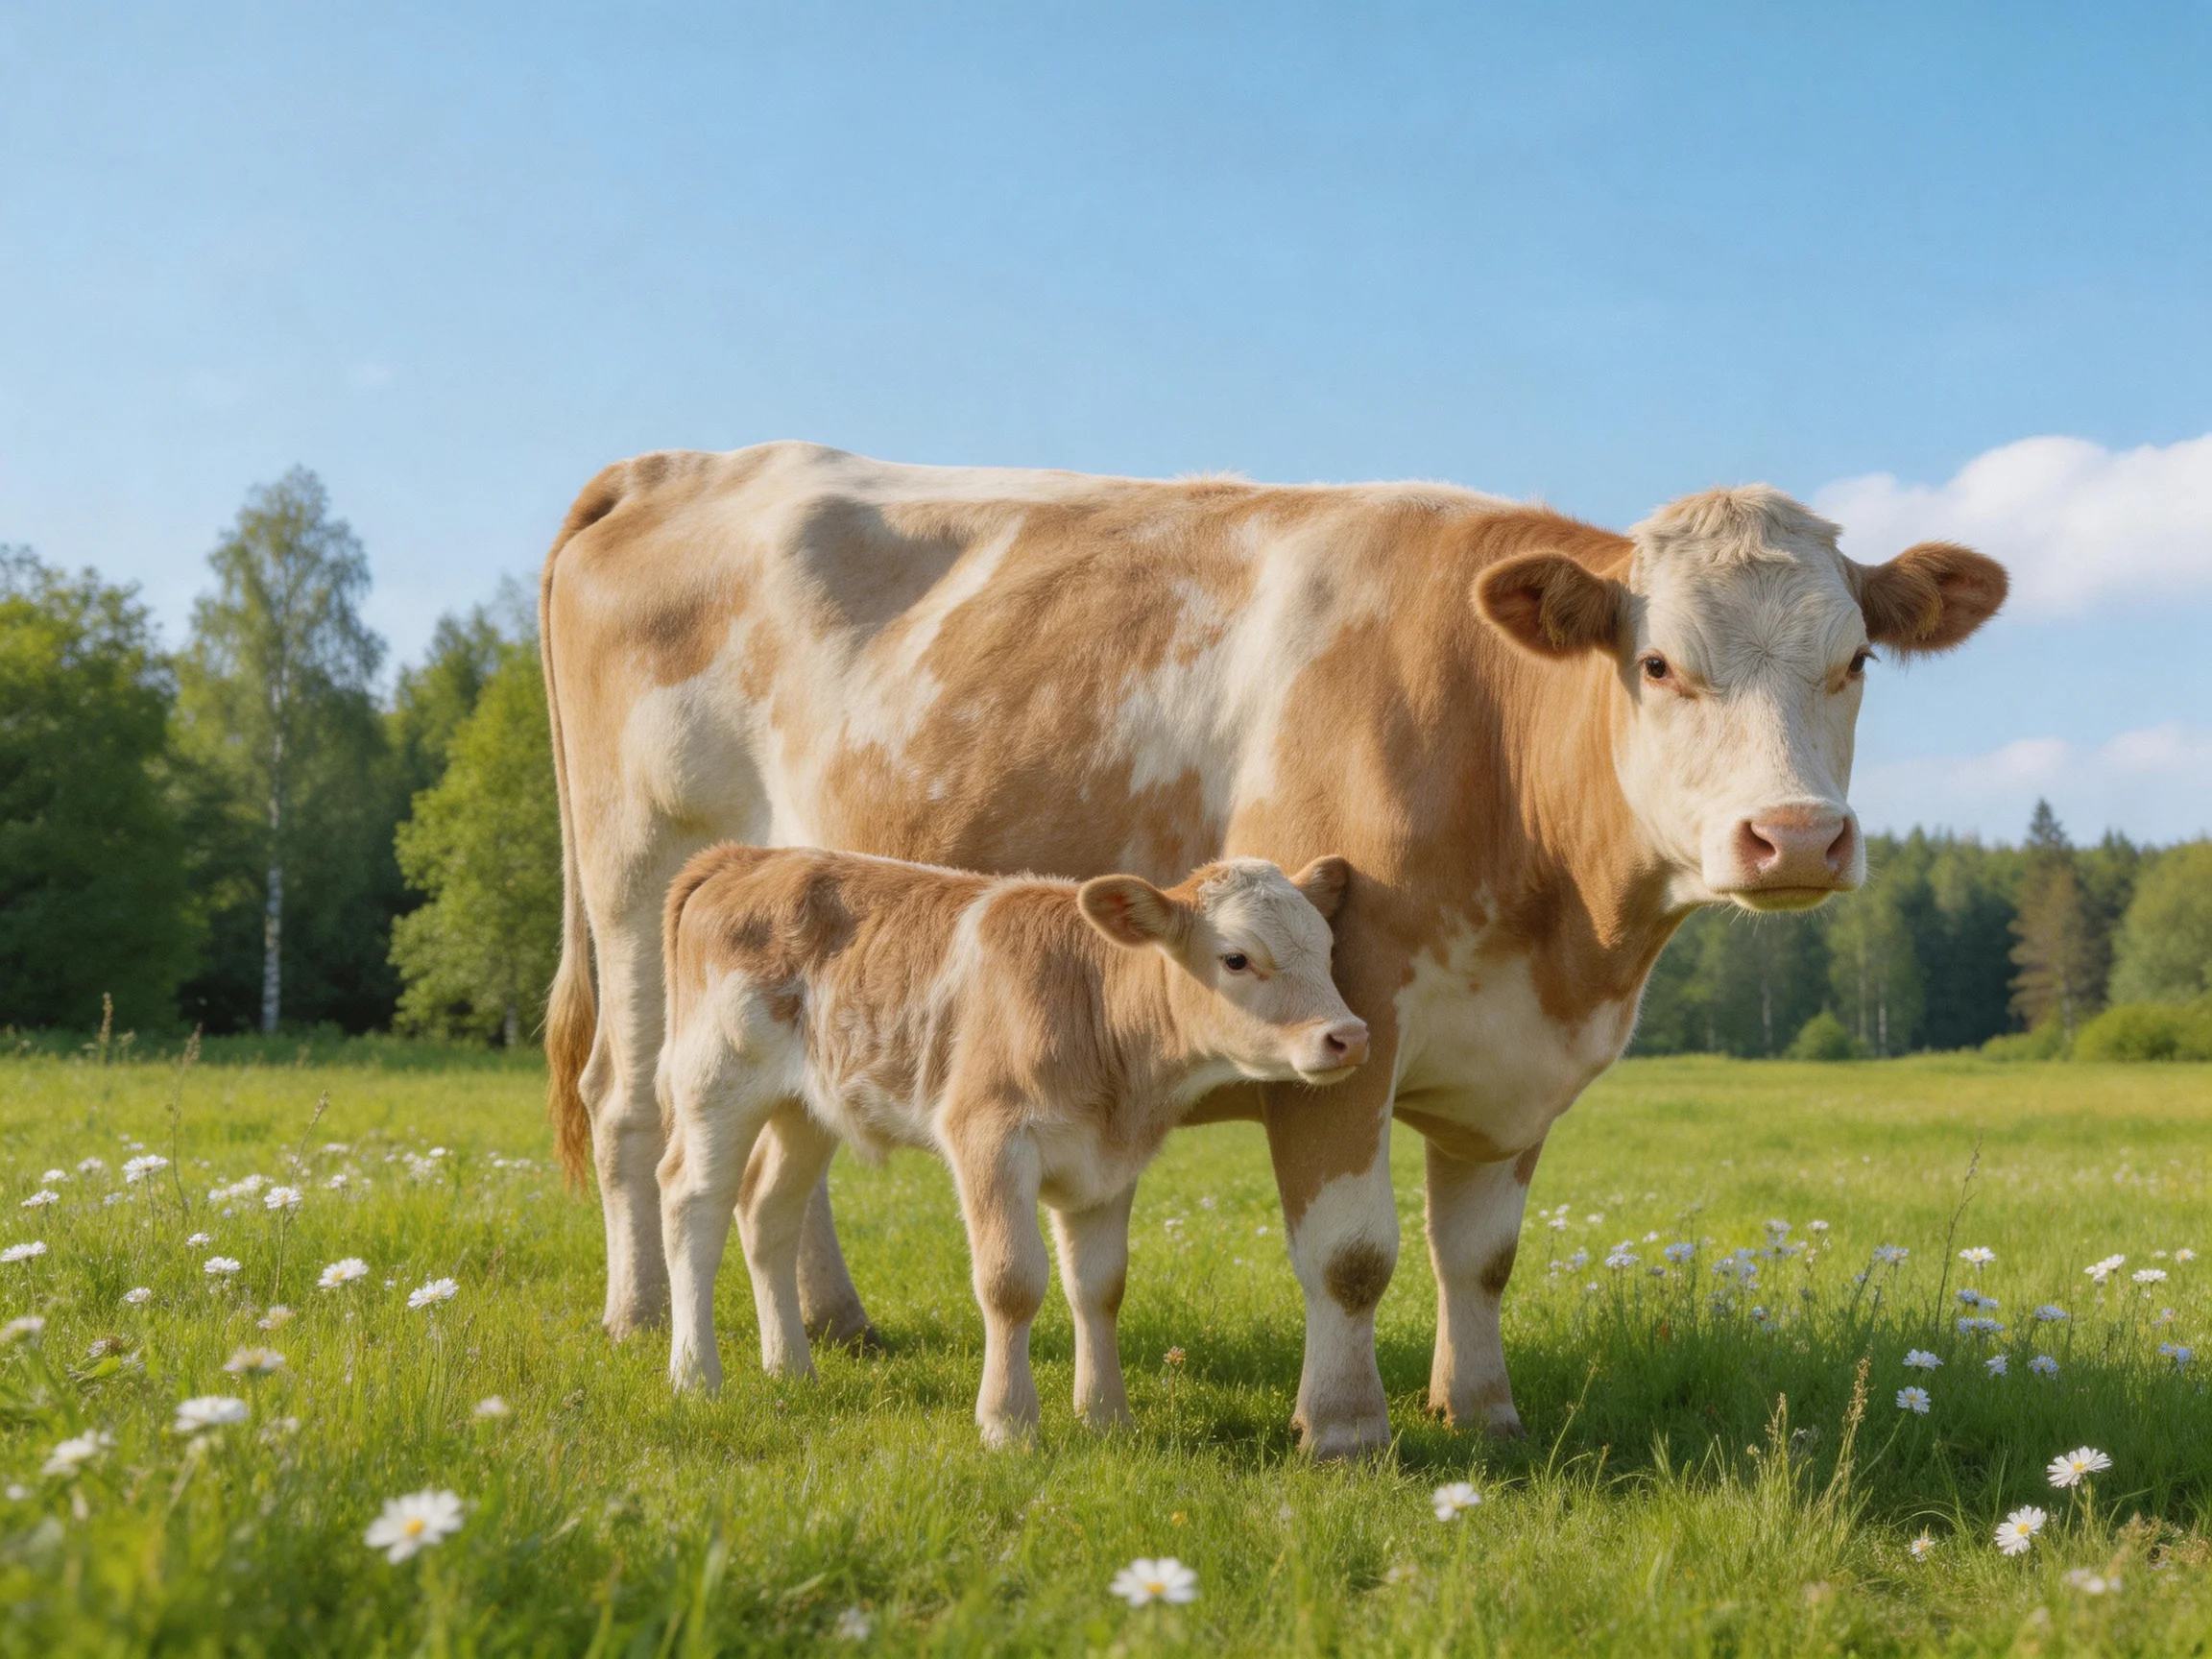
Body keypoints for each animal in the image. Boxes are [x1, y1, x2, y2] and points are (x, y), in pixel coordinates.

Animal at [654, 844, 1366, 1444]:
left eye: (1329, 950)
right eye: (1236, 958)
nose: (1349, 1035)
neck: (1095, 1010)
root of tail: (748, 856)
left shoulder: (1108, 1165)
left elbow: (1100, 1286)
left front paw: (1106, 1417)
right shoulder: (988, 1138)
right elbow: (1011, 1281)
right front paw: (1007, 1423)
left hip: (806, 1108)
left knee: (766, 1211)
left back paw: (792, 1369)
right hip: (718, 1080)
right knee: (694, 1205)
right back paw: (695, 1376)